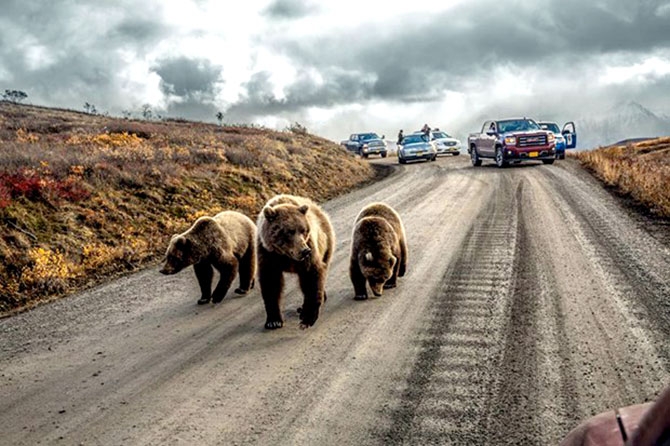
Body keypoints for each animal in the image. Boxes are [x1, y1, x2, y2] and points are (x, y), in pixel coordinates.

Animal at [258, 194, 336, 328]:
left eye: (303, 230)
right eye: (290, 231)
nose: (305, 251)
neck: (285, 255)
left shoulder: (310, 250)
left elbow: (311, 277)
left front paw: (308, 317)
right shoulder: (268, 254)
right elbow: (271, 283)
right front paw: (273, 321)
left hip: (326, 243)